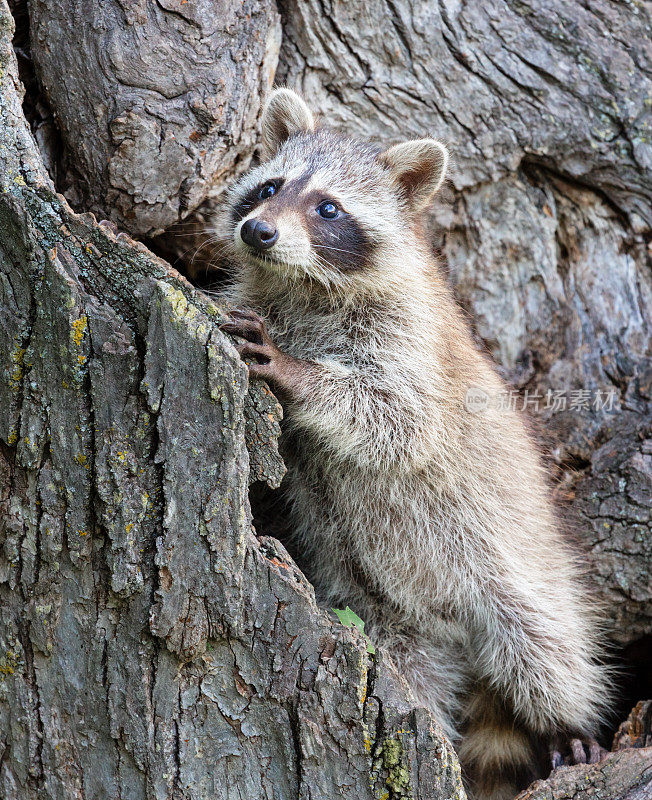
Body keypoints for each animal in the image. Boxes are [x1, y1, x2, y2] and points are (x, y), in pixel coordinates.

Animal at [215, 89, 612, 800]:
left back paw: (562, 722)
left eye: (328, 208)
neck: (304, 287)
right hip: (394, 621)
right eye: (269, 187)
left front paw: (301, 374)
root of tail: (455, 626)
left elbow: (401, 423)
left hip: (519, 574)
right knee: (414, 679)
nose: (258, 231)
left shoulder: (409, 338)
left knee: (545, 652)